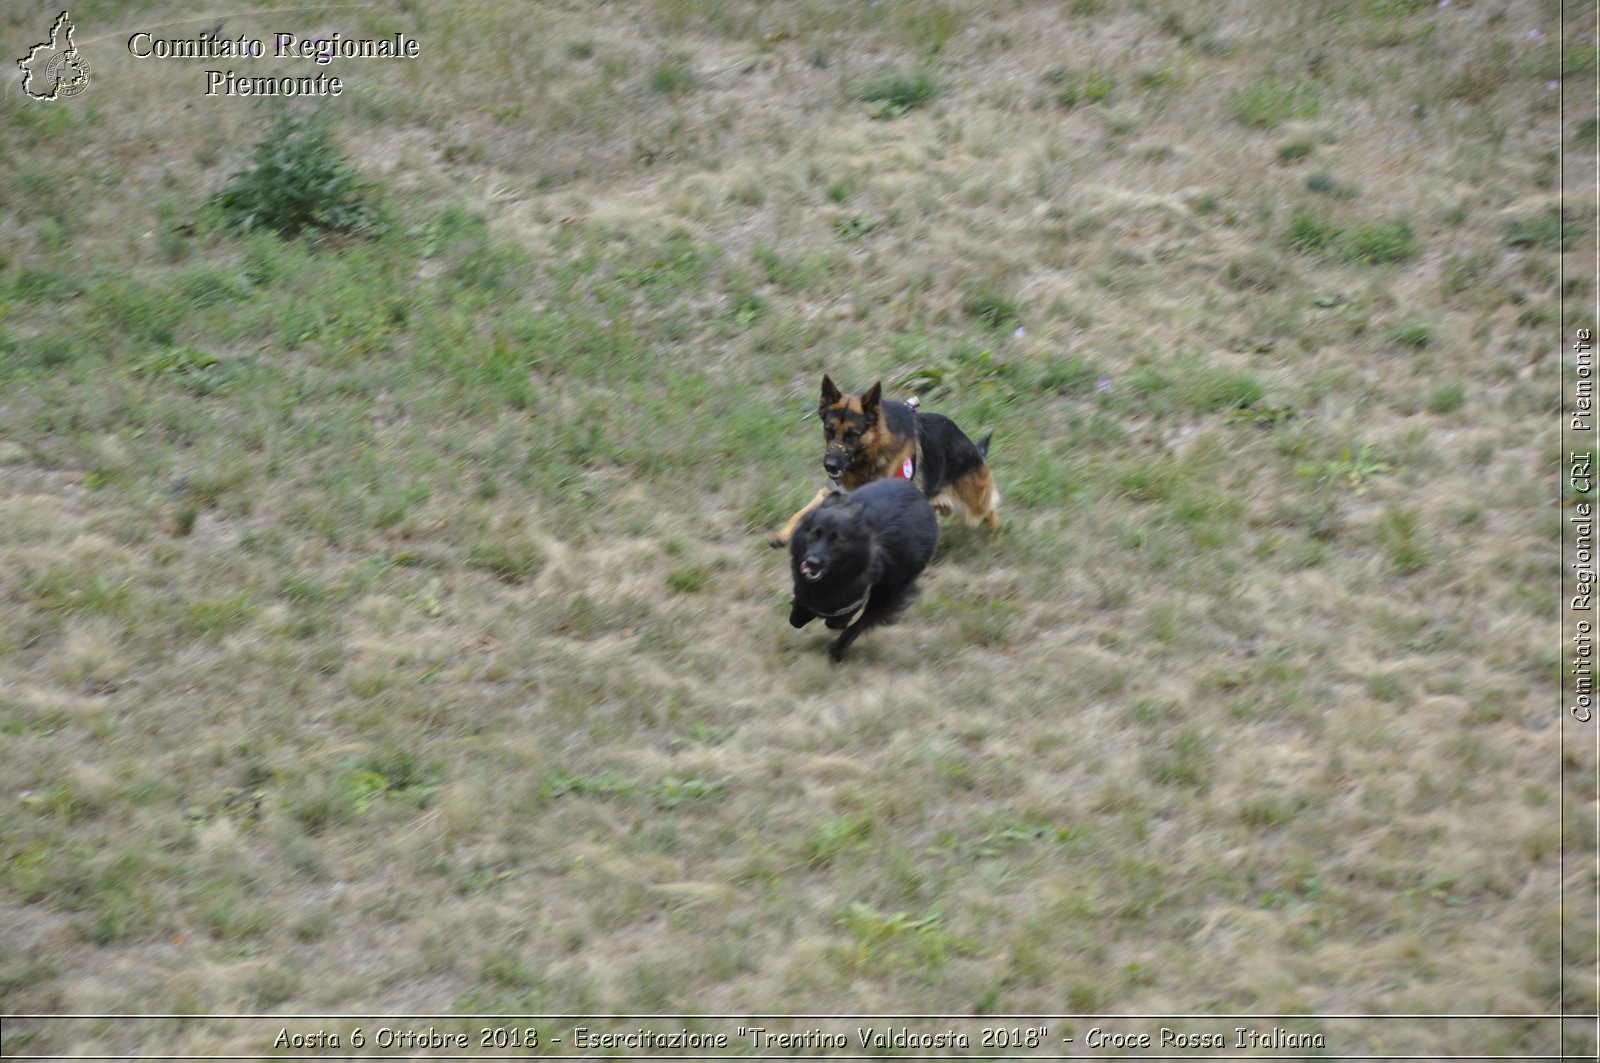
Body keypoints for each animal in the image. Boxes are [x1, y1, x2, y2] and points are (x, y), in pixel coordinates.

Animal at [764, 376, 998, 547]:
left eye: (852, 434)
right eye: (829, 430)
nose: (830, 465)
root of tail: (975, 451)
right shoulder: (832, 492)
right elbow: (802, 512)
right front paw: (784, 534)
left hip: (972, 508)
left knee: (990, 507)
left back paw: (995, 533)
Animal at [787, 477, 934, 659]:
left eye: (837, 539)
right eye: (815, 533)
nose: (812, 562)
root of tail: (921, 496)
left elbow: (838, 620)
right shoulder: (804, 591)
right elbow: (797, 616)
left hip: (889, 590)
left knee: (864, 619)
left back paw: (838, 648)